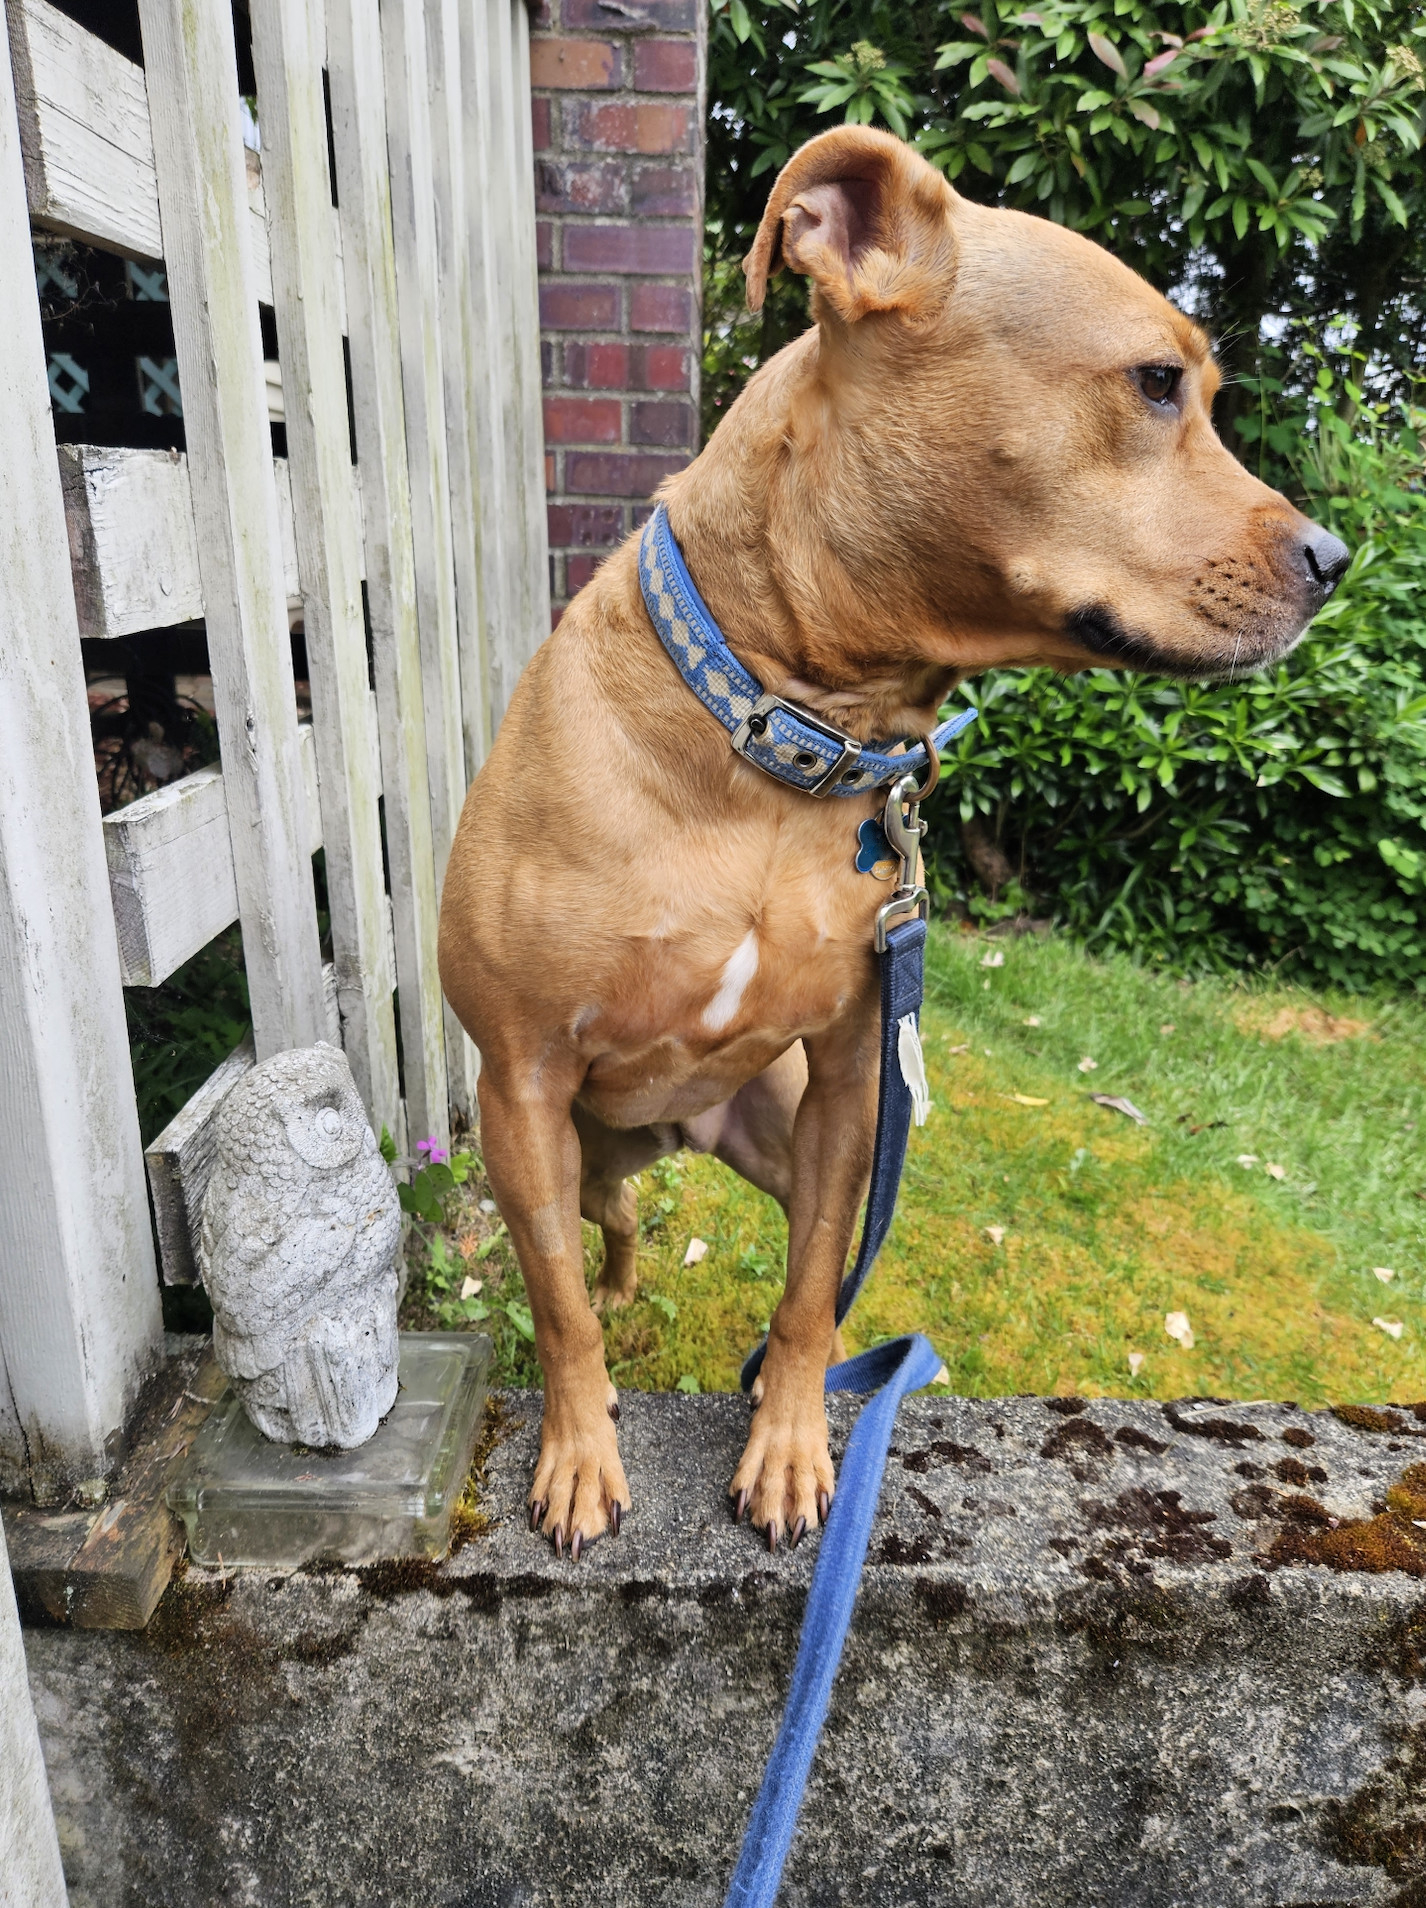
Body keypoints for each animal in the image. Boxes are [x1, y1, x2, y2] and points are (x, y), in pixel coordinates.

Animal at [437, 134, 1351, 1556]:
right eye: (1156, 384)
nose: (1336, 557)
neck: (775, 732)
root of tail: (668, 1134)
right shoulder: (523, 1082)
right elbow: (559, 1313)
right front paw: (581, 1453)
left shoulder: (850, 1092)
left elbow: (814, 1288)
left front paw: (792, 1443)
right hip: (551, 1150)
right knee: (596, 1243)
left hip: (763, 1126)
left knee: (680, 1239)